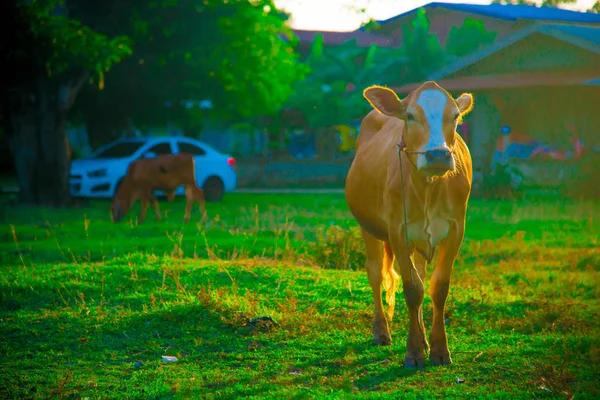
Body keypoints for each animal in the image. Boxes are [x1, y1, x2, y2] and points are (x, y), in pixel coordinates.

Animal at [346, 80, 474, 368]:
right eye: (411, 116)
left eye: (455, 116)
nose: (438, 155)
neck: (429, 188)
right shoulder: (398, 231)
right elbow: (413, 289)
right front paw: (414, 351)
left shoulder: (456, 230)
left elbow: (438, 287)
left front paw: (438, 348)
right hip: (367, 227)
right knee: (375, 272)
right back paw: (381, 331)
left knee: (421, 275)